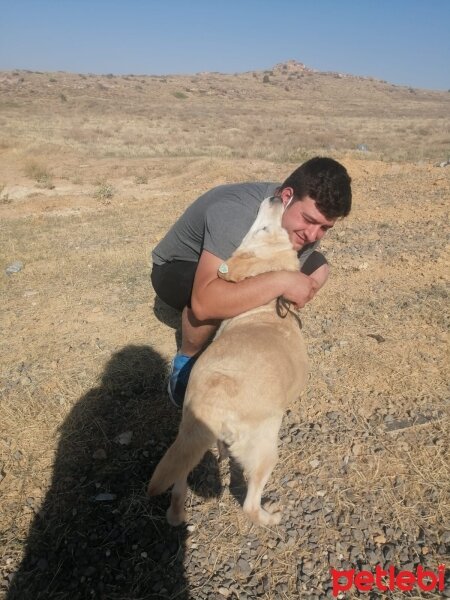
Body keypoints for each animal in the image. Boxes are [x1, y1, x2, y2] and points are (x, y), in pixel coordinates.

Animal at [149, 197, 310, 524]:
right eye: (263, 228)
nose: (277, 198)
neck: (266, 307)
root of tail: (212, 402)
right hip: (265, 450)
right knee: (249, 505)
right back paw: (271, 517)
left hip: (188, 440)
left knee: (179, 482)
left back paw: (177, 514)